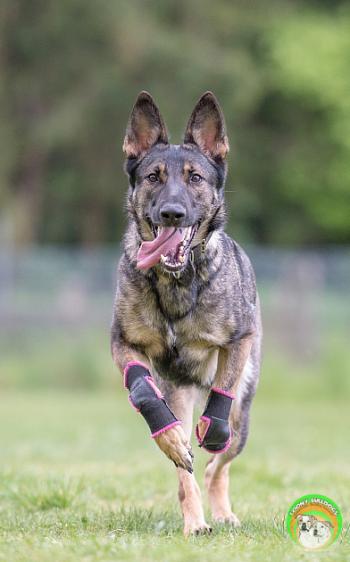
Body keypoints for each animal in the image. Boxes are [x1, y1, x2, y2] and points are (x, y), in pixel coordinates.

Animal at [110, 89, 262, 532]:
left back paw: (222, 511)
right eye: (153, 177)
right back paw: (194, 520)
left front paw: (210, 429)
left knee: (218, 463)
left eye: (195, 178)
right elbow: (143, 389)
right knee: (188, 471)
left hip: (243, 416)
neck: (176, 281)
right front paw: (171, 439)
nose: (172, 213)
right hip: (178, 392)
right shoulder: (123, 342)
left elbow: (219, 408)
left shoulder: (240, 340)